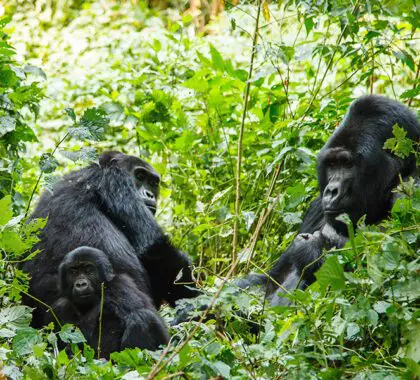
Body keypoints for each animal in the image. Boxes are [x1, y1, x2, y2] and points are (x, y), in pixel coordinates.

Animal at [238, 94, 418, 306]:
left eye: (347, 164)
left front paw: (313, 250)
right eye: (332, 164)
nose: (331, 191)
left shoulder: (411, 187)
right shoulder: (317, 206)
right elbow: (267, 280)